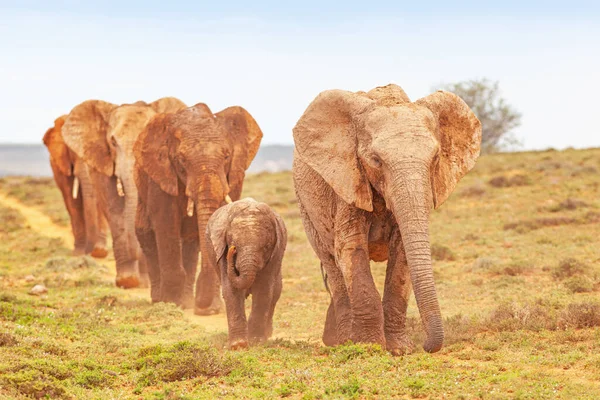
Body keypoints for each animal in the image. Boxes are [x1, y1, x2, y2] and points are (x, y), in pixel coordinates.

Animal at [136, 102, 262, 312]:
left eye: (227, 156)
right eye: (182, 160)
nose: (204, 306)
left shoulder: (234, 175)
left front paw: (212, 309)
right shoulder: (162, 174)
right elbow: (166, 221)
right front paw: (172, 303)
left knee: (190, 241)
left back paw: (187, 301)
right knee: (145, 234)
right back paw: (161, 300)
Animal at [207, 198, 288, 348]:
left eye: (266, 247)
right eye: (233, 244)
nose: (232, 250)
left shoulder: (275, 255)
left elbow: (263, 290)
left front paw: (255, 341)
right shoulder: (221, 250)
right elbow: (231, 290)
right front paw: (238, 345)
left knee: (276, 292)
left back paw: (267, 334)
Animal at [292, 83, 482, 354]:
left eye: (436, 158)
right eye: (376, 160)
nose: (427, 345)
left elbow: (402, 256)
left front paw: (400, 349)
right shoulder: (348, 182)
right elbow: (350, 250)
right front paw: (369, 346)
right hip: (306, 208)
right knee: (331, 264)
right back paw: (341, 341)